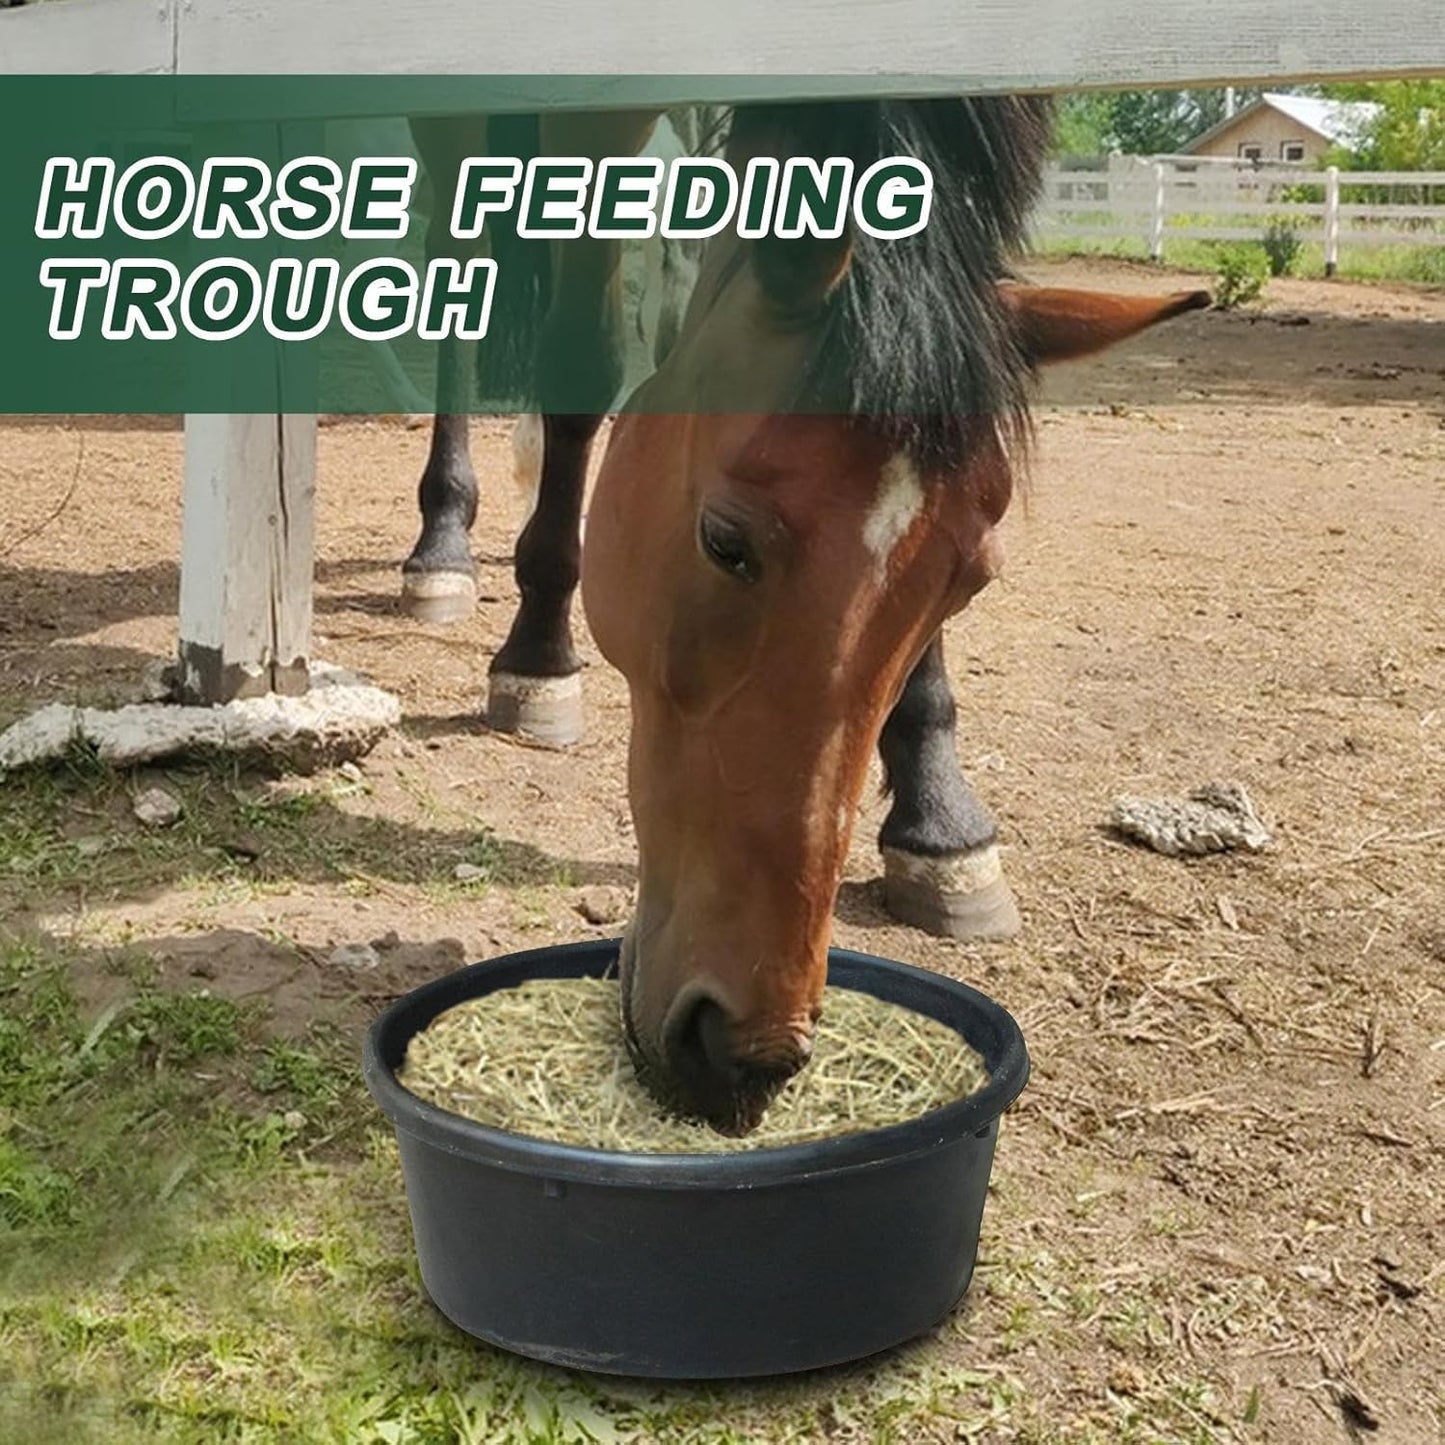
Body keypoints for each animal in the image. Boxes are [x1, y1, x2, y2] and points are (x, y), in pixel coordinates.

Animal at [399, 97, 1208, 1132]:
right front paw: (537, 655)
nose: (744, 1055)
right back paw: (446, 550)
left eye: (972, 580)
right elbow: (583, 358)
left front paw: (942, 825)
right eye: (724, 540)